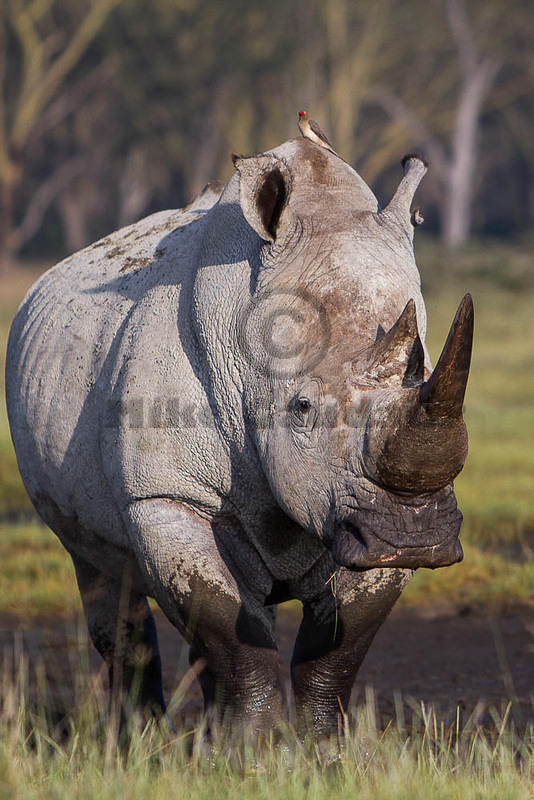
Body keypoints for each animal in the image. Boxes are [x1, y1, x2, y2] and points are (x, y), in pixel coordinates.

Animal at [4, 136, 474, 736]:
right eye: (302, 409)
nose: (415, 537)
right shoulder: (168, 496)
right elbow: (229, 630)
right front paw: (256, 748)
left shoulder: (362, 523)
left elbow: (335, 653)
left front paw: (325, 748)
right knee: (105, 576)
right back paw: (139, 743)